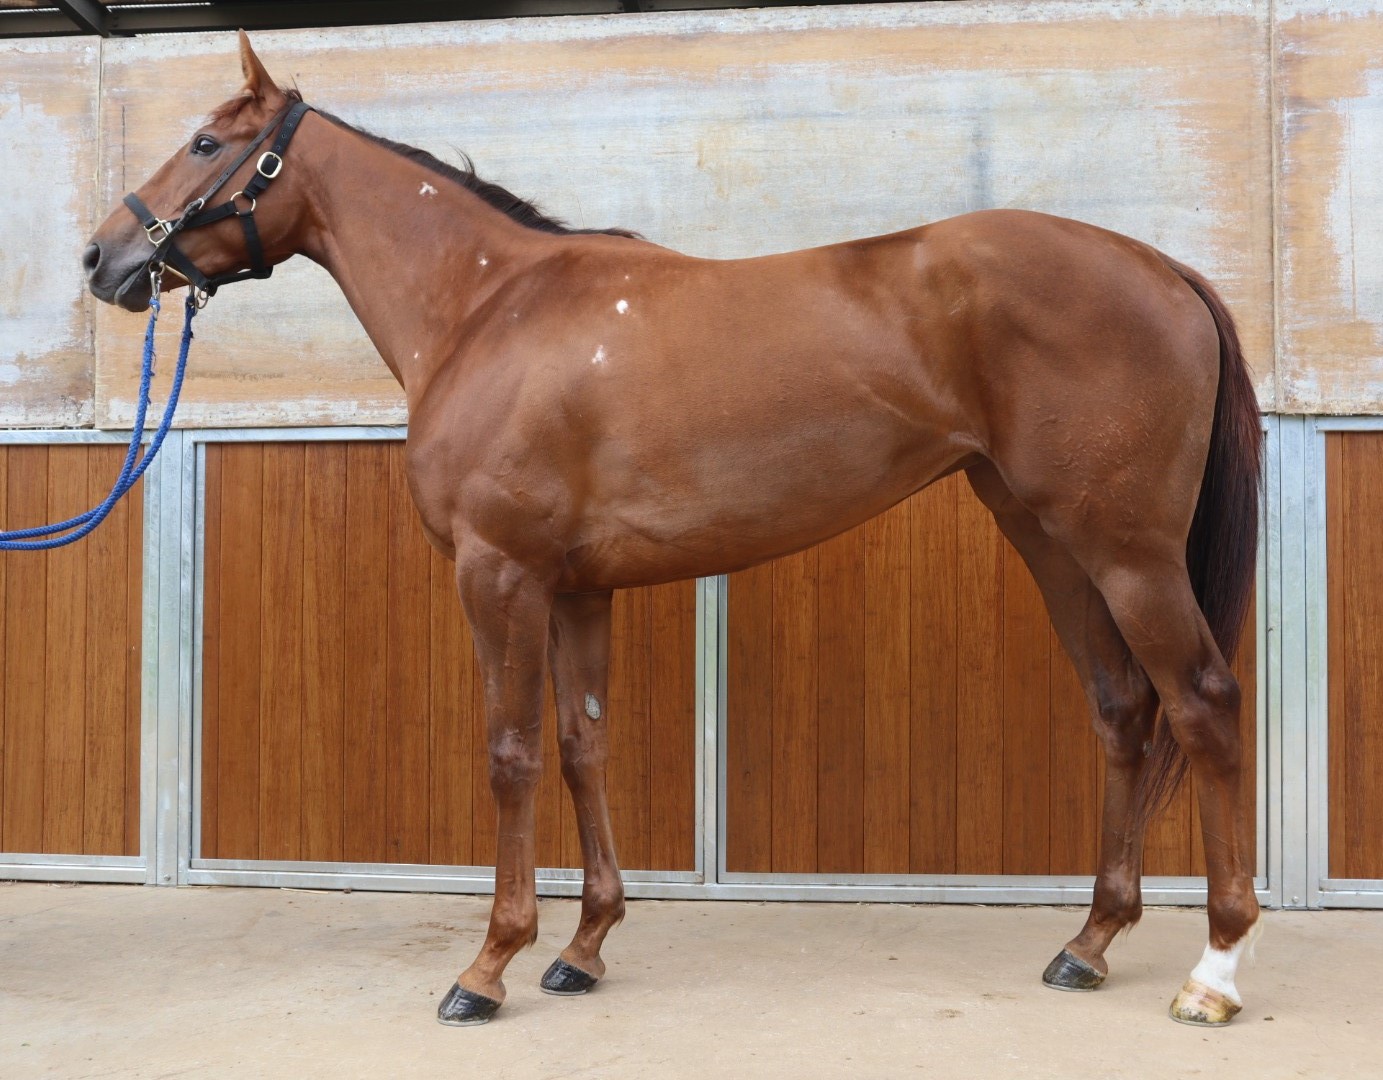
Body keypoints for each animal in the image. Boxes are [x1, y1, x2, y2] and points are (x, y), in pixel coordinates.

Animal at [83, 32, 1262, 1028]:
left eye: (206, 143)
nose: (103, 260)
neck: (488, 310)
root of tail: (1164, 269)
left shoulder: (499, 574)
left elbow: (511, 754)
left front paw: (489, 965)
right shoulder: (575, 586)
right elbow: (582, 746)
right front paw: (583, 949)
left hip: (1126, 552)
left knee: (1202, 703)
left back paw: (1213, 972)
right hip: (1050, 540)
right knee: (1122, 710)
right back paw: (1090, 942)